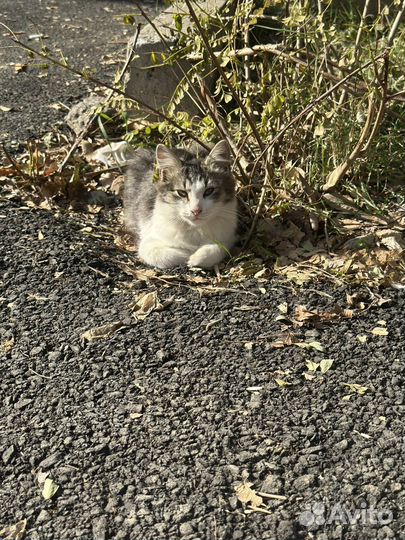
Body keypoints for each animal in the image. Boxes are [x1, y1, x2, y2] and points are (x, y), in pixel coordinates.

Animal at [123, 140, 237, 268]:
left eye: (209, 191)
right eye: (182, 193)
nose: (196, 210)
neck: (195, 229)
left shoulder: (229, 237)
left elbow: (219, 248)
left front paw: (196, 257)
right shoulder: (147, 243)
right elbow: (166, 255)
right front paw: (188, 254)